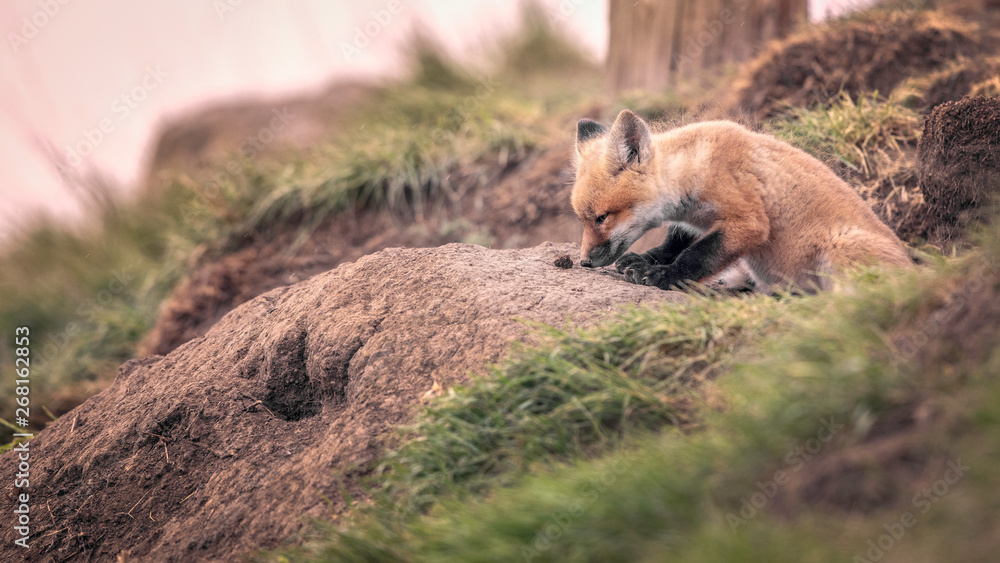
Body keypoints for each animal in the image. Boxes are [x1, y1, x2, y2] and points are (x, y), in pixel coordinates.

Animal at [571, 110, 913, 293]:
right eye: (583, 220)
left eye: (602, 217)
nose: (584, 262)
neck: (696, 168)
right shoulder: (693, 221)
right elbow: (672, 245)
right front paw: (647, 260)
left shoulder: (748, 222)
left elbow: (698, 256)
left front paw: (664, 276)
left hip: (842, 250)